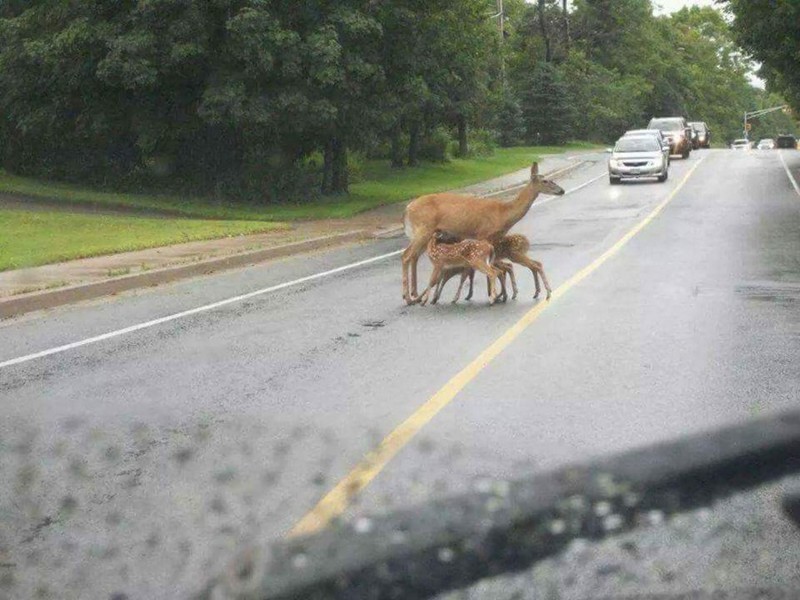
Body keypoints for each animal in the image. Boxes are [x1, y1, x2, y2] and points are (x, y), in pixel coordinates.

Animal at [400, 162, 564, 304]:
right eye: (545, 181)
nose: (561, 190)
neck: (503, 214)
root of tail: (407, 208)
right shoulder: (484, 234)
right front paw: (494, 295)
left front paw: (496, 294)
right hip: (423, 229)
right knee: (407, 256)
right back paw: (408, 297)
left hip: (426, 233)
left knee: (414, 256)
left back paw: (415, 295)